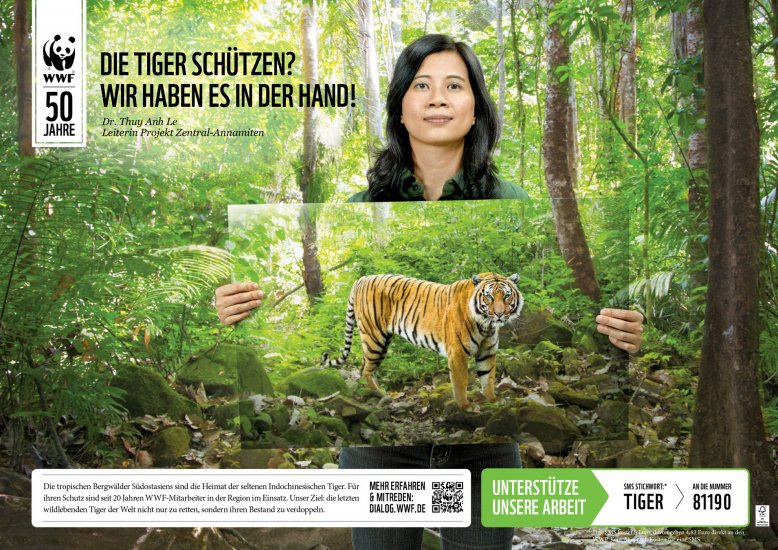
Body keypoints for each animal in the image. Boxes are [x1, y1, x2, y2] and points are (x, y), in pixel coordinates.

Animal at [322, 272, 523, 409]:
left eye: (506, 296)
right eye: (489, 296)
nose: (499, 314)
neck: (486, 325)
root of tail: (360, 280)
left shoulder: (487, 352)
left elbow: (488, 378)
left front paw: (493, 400)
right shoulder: (457, 353)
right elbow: (461, 382)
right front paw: (465, 406)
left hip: (382, 341)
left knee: (364, 366)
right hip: (374, 337)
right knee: (366, 370)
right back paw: (379, 393)